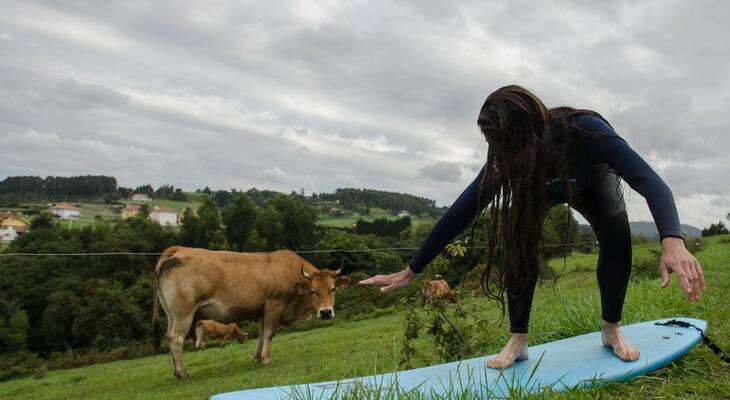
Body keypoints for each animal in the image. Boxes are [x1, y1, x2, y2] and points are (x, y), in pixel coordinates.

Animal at [151, 245, 350, 380]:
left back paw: (177, 371)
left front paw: (257, 357)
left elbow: (262, 333)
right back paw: (182, 373)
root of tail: (178, 250)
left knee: (170, 336)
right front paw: (266, 359)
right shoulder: (274, 305)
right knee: (176, 338)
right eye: (313, 291)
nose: (326, 312)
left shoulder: (264, 309)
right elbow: (269, 332)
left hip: (172, 315)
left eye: (332, 289)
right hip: (183, 314)